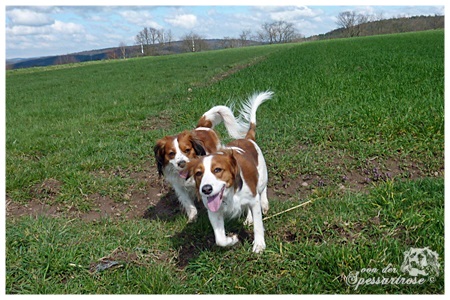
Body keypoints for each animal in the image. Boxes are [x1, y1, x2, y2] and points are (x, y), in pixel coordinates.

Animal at [187, 90, 274, 252]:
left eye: (217, 170)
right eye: (198, 173)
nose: (206, 189)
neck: (230, 194)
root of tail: (247, 138)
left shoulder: (253, 200)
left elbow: (258, 225)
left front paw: (259, 245)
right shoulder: (214, 212)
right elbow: (220, 239)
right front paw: (232, 239)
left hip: (261, 179)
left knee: (263, 189)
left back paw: (264, 204)